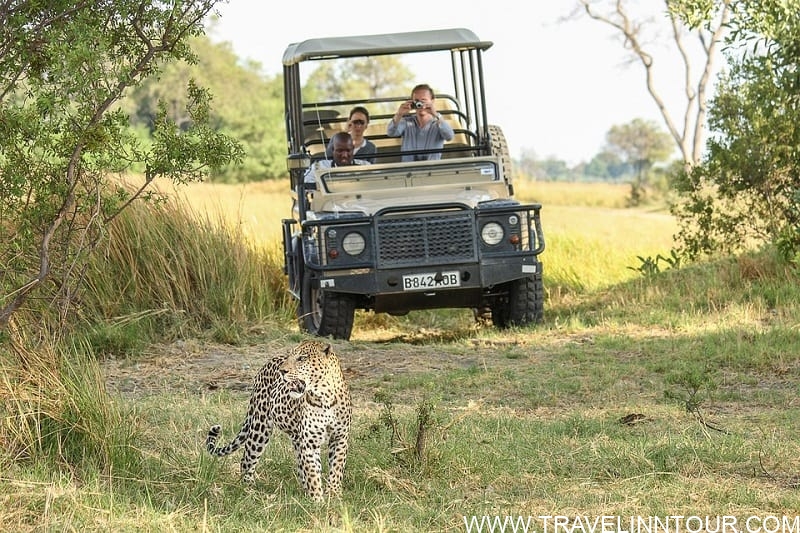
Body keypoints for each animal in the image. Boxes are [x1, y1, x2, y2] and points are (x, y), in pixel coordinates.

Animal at [206, 339, 352, 501]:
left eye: (302, 358)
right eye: (291, 356)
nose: (283, 371)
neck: (324, 396)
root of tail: (267, 363)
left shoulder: (339, 438)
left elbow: (336, 468)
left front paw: (334, 495)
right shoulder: (309, 442)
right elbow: (313, 472)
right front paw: (317, 499)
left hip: (295, 437)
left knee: (300, 465)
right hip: (260, 426)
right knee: (246, 460)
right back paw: (248, 489)